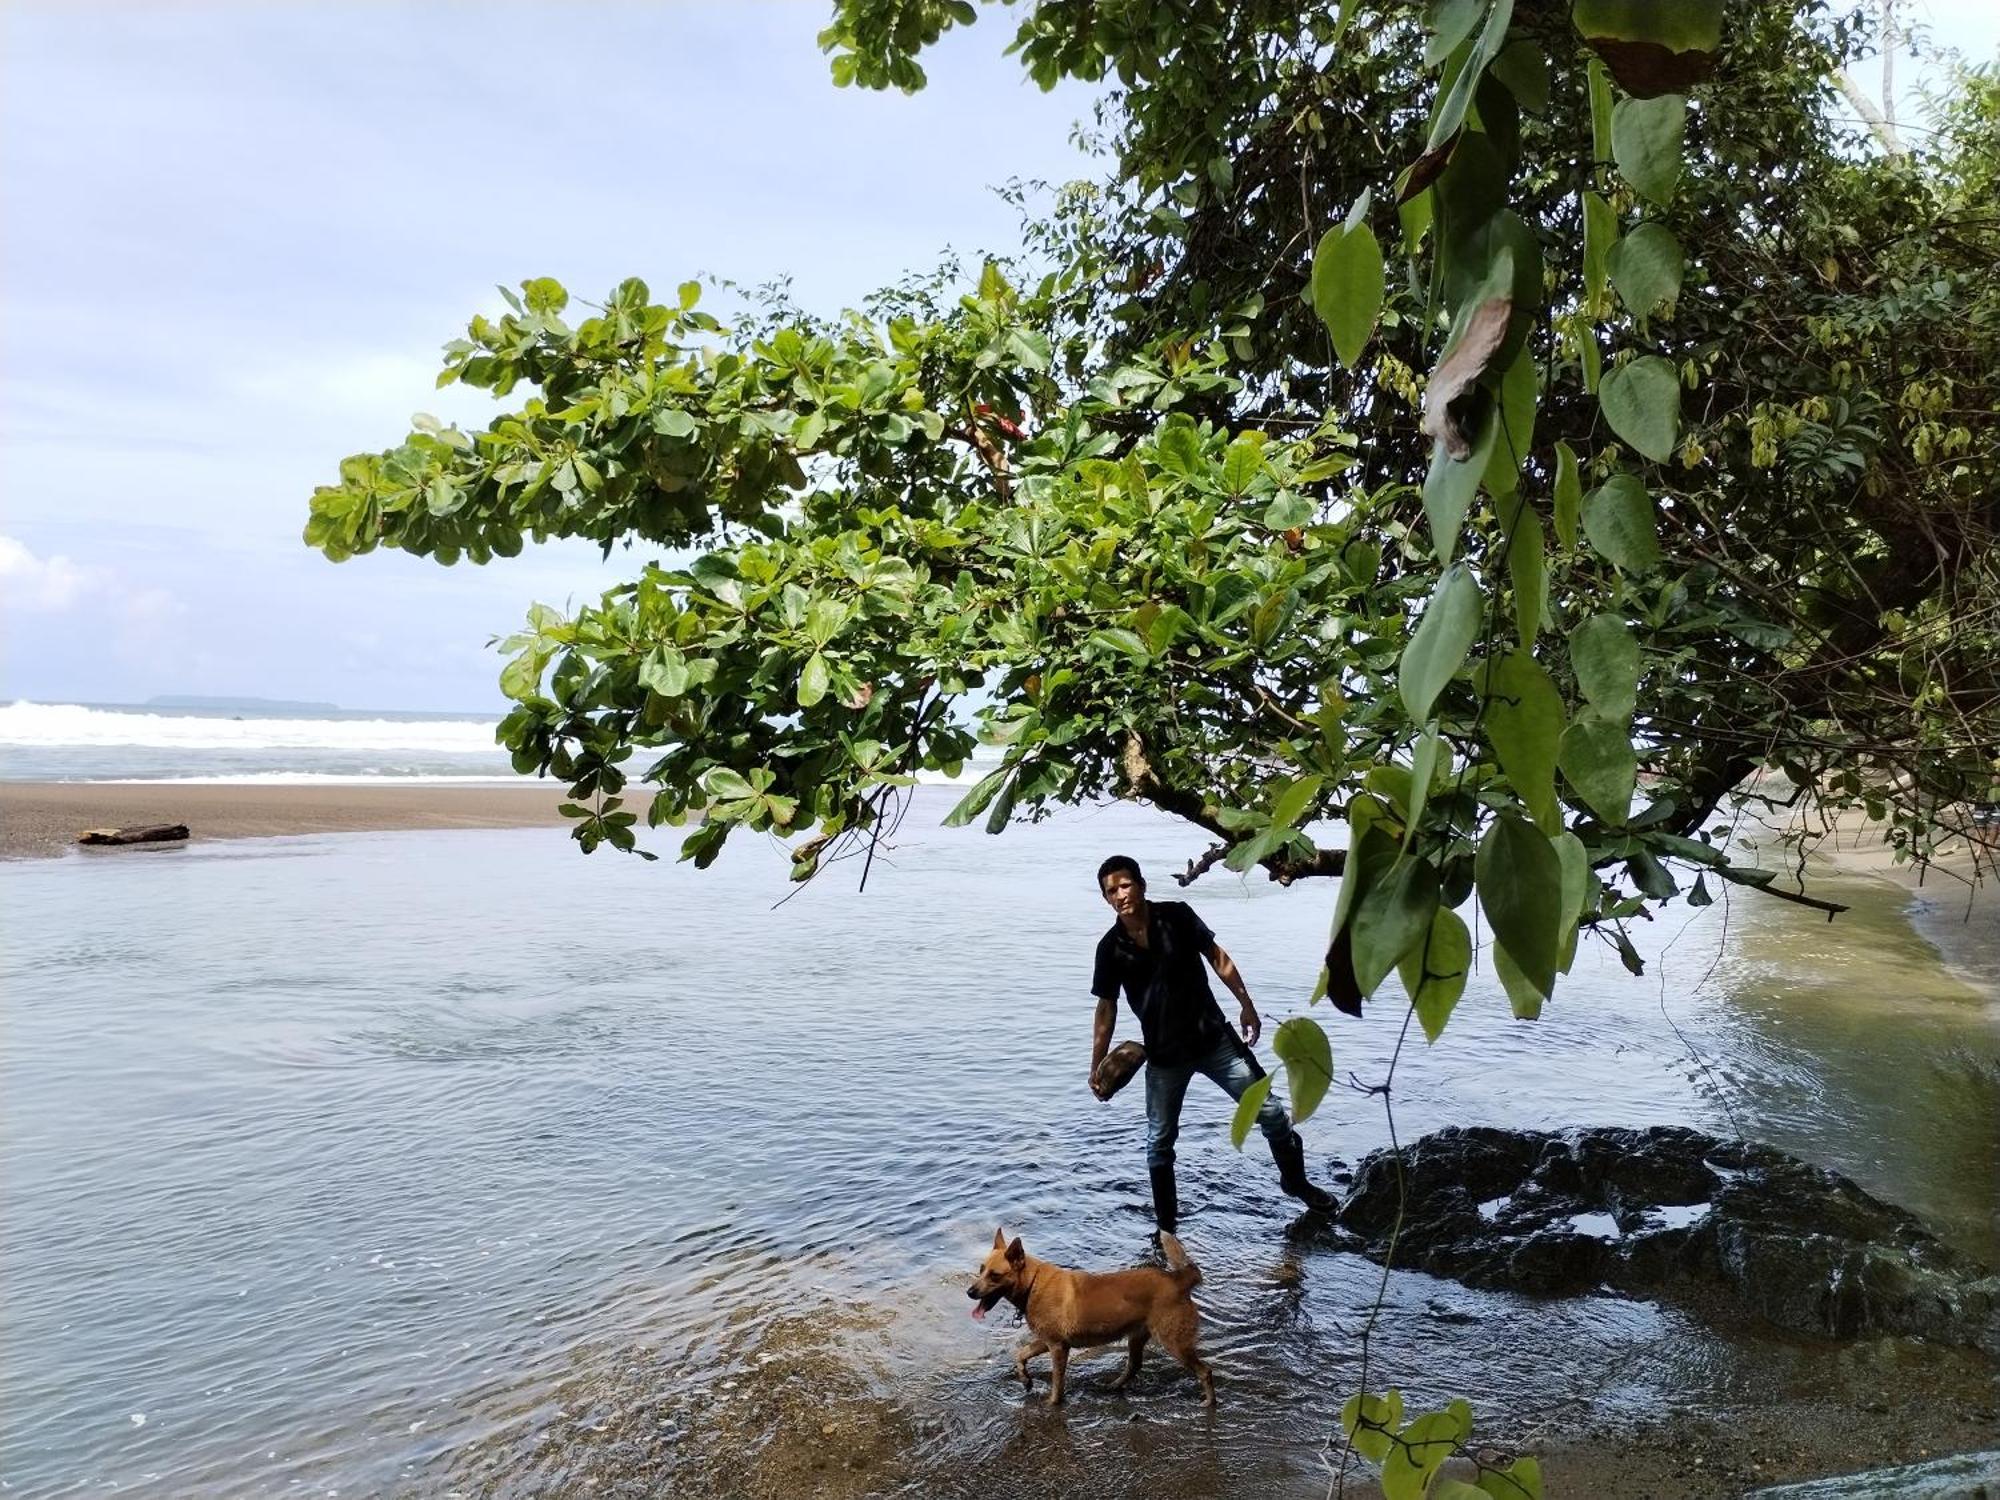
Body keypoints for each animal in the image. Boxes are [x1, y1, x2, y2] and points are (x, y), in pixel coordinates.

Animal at [960, 1232, 1208, 1408]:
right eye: (981, 1270)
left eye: (994, 1275)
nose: (970, 1292)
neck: (1033, 1284)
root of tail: (1179, 1279)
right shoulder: (1047, 1340)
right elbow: (1020, 1354)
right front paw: (1025, 1379)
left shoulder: (1058, 1346)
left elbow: (1057, 1380)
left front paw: (1053, 1403)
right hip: (1137, 1337)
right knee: (1134, 1365)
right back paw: (1114, 1386)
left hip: (1174, 1342)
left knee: (1205, 1371)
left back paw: (1209, 1402)